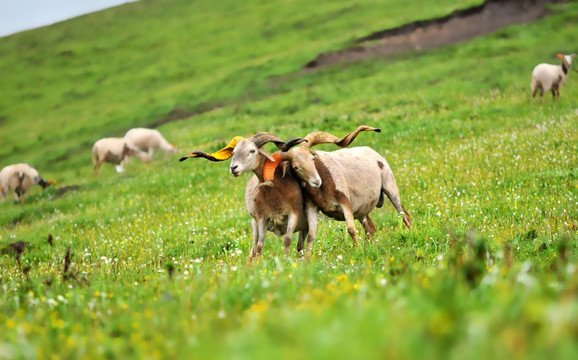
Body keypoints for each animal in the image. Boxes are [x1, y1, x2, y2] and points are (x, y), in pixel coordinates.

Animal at [179, 133, 318, 258]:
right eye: (234, 152)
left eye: (252, 150)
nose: (233, 168)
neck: (277, 189)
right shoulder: (262, 218)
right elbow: (260, 247)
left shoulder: (294, 213)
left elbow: (287, 240)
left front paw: (286, 260)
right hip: (254, 224)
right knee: (253, 249)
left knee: (300, 245)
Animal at [278, 125, 410, 246]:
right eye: (295, 167)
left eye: (312, 159)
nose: (316, 181)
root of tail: (373, 152)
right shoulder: (312, 207)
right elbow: (308, 237)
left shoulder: (345, 202)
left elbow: (351, 229)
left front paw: (358, 250)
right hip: (362, 208)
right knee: (370, 228)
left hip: (390, 188)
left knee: (405, 216)